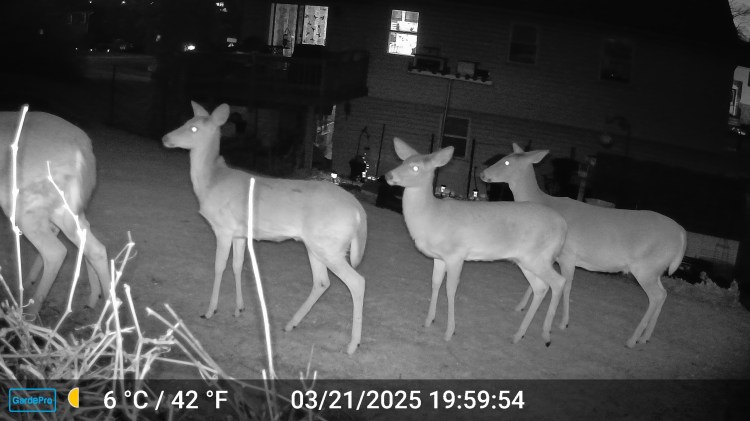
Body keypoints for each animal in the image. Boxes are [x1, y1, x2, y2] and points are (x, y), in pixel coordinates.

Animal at [0, 110, 110, 316]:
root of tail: (83, 149)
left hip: (25, 208)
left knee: (55, 252)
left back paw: (29, 313)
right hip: (65, 207)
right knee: (94, 246)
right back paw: (101, 304)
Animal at [162, 101, 367, 355]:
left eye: (193, 128)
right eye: (186, 122)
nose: (165, 138)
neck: (211, 181)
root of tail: (359, 212)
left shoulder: (223, 228)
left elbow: (219, 267)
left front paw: (210, 310)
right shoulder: (240, 234)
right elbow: (238, 265)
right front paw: (239, 308)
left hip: (330, 246)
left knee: (357, 282)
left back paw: (352, 345)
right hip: (316, 246)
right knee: (322, 282)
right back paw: (291, 324)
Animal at [385, 137, 569, 346]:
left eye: (415, 167)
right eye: (403, 162)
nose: (389, 175)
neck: (432, 215)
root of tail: (563, 226)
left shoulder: (456, 254)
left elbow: (450, 289)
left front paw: (449, 332)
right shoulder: (439, 257)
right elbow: (435, 283)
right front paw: (428, 320)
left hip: (538, 257)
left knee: (558, 282)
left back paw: (546, 334)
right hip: (526, 260)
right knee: (541, 287)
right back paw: (518, 334)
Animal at [479, 143, 687, 348]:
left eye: (506, 161)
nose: (482, 173)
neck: (544, 202)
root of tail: (681, 234)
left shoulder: (567, 255)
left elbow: (566, 286)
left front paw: (563, 322)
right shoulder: (548, 255)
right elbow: (537, 284)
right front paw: (520, 306)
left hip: (645, 268)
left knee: (656, 296)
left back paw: (632, 339)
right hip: (656, 269)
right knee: (663, 294)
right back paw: (645, 337)